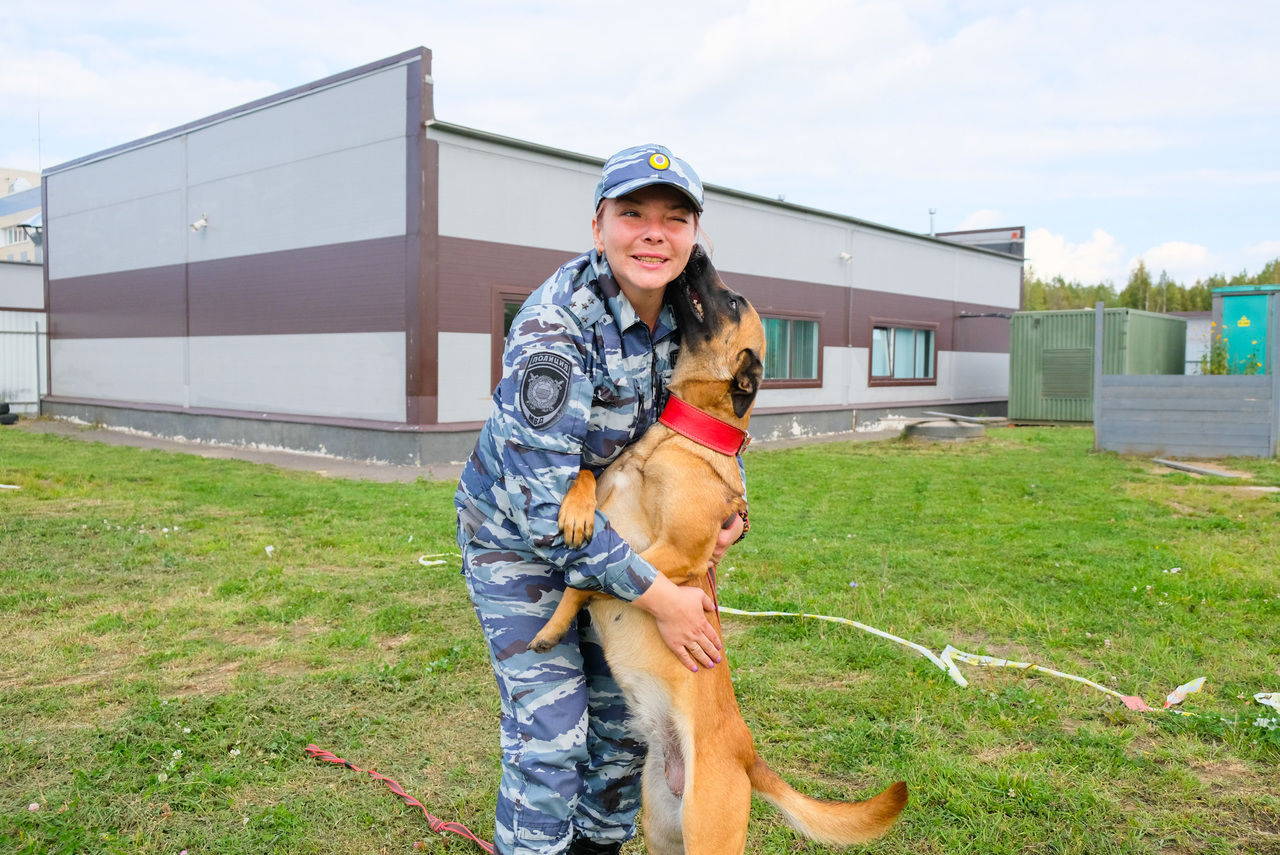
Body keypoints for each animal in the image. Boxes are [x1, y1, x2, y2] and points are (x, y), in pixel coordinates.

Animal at [524, 245, 906, 849]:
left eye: (733, 300)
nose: (698, 251)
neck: (679, 437)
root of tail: (747, 755)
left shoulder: (676, 555)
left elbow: (585, 581)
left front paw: (553, 625)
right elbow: (583, 473)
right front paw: (575, 510)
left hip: (709, 835)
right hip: (661, 830)